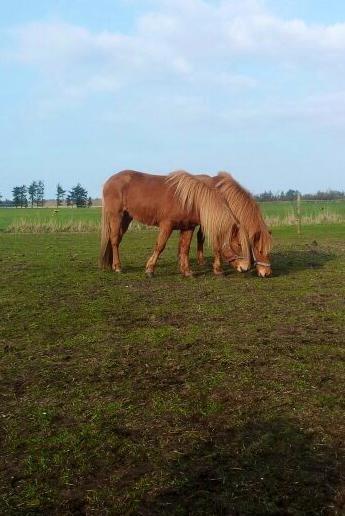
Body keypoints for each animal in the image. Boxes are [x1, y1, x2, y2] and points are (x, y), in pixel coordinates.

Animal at [99, 170, 250, 276]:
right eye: (239, 244)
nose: (246, 267)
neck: (189, 200)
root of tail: (109, 181)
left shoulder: (188, 227)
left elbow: (185, 248)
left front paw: (186, 271)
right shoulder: (167, 225)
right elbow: (160, 246)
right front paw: (150, 269)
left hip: (126, 218)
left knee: (116, 239)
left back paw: (111, 265)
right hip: (116, 216)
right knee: (114, 240)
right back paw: (117, 267)